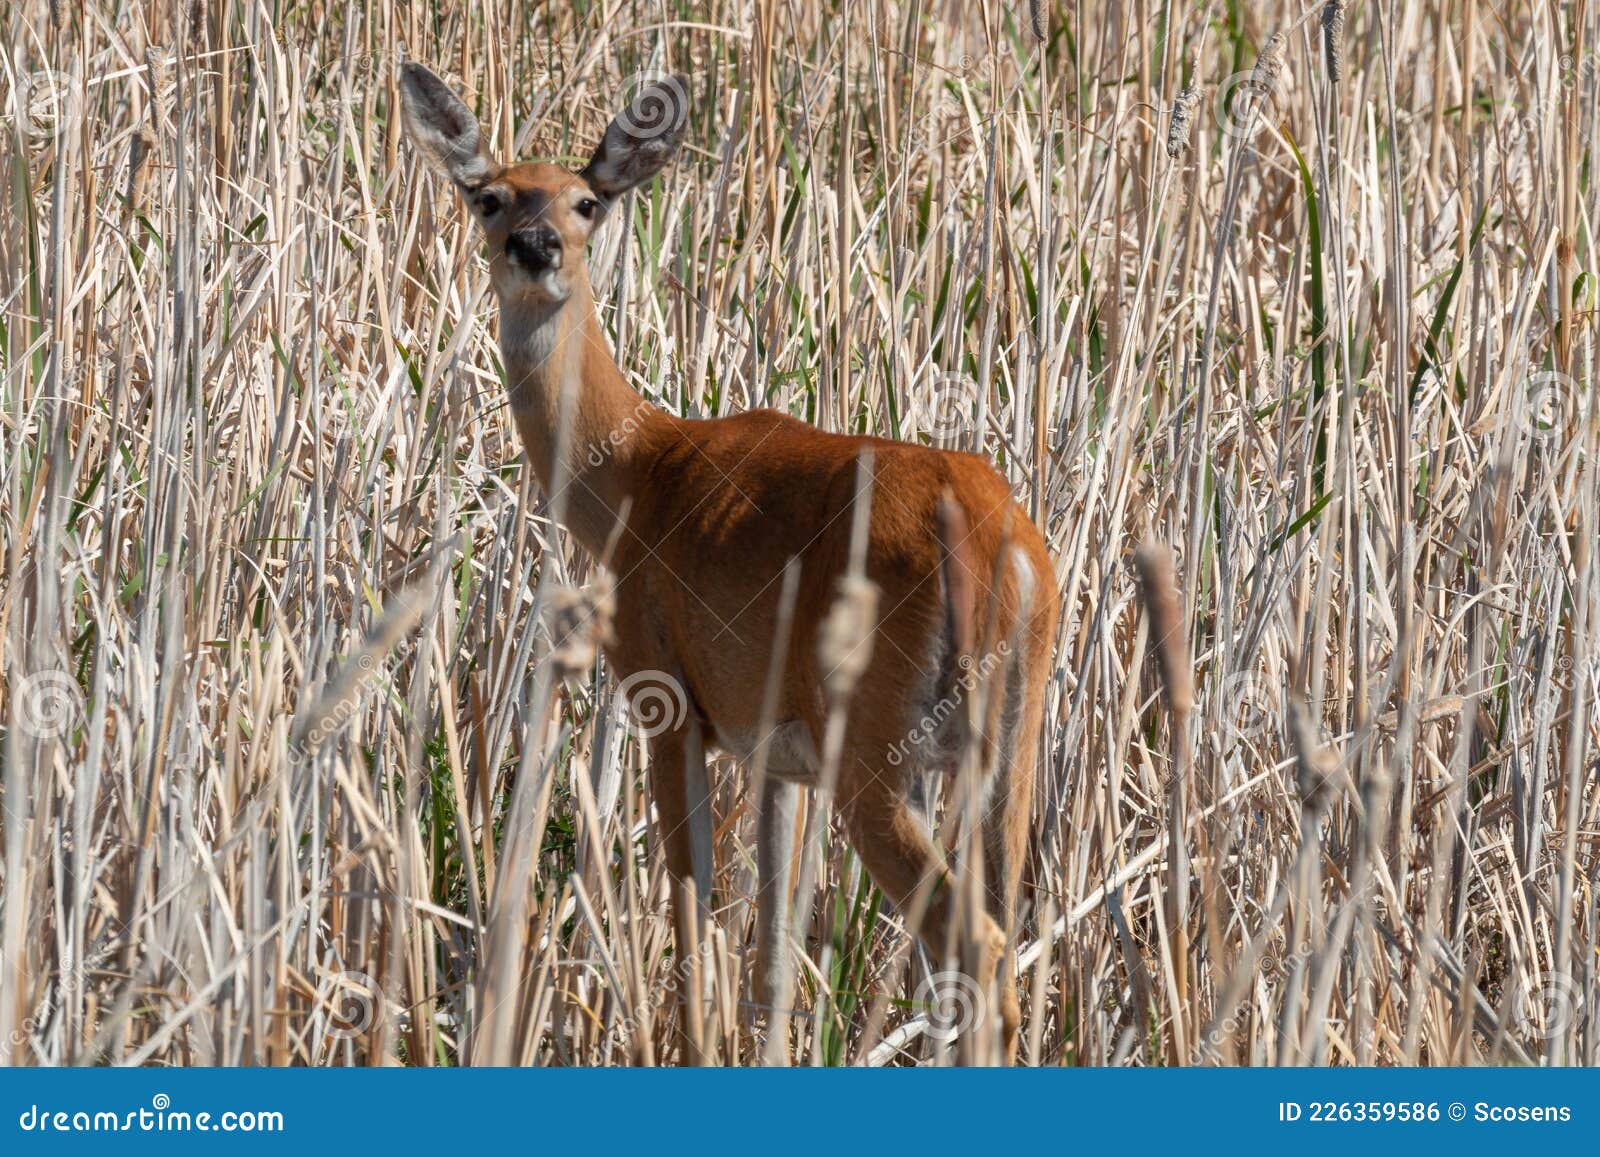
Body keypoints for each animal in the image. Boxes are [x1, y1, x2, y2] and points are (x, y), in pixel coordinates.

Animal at [398, 61, 1059, 1064]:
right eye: (489, 196)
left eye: (589, 201)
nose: (536, 245)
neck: (636, 468)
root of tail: (995, 545)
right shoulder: (778, 750)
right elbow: (772, 960)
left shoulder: (668, 693)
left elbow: (689, 910)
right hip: (1010, 741)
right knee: (1002, 939)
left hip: (877, 742)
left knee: (972, 942)